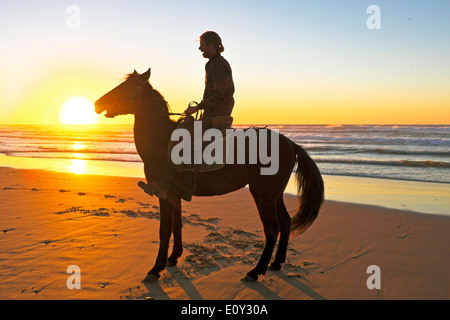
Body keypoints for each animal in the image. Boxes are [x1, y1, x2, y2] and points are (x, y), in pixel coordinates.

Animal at [94, 68, 324, 282]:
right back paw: (276, 263)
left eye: (127, 87)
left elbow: (164, 230)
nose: (97, 102)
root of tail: (289, 143)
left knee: (272, 228)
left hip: (263, 194)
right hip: (274, 194)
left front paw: (156, 269)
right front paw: (173, 258)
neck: (161, 139)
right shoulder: (175, 194)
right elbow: (177, 224)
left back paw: (256, 271)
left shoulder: (165, 194)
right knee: (285, 222)